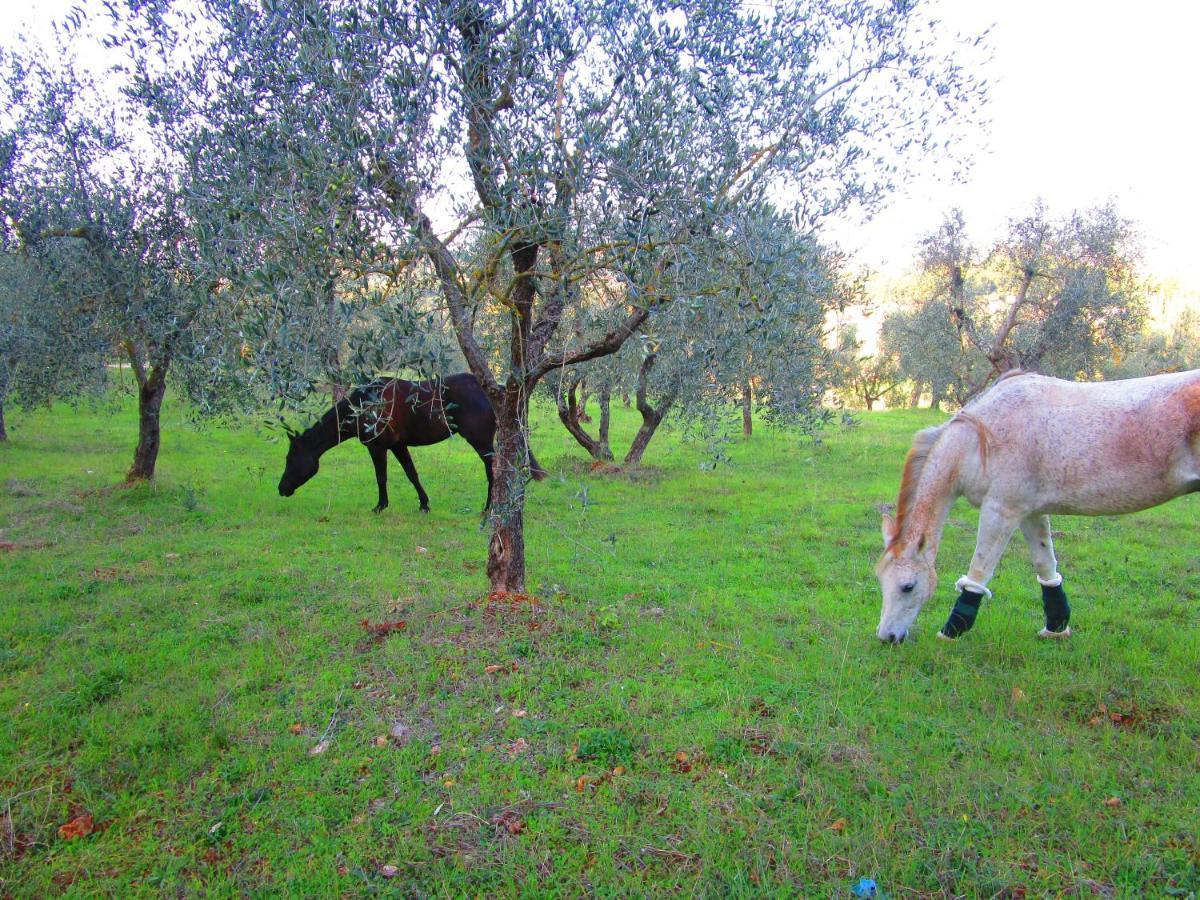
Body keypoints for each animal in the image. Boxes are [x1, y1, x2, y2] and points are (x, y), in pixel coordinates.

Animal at [278, 374, 547, 513]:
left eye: (290, 458)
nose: (281, 489)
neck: (364, 406)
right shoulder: (398, 446)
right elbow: (411, 474)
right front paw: (424, 504)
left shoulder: (377, 447)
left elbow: (381, 477)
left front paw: (380, 506)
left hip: (480, 441)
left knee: (494, 471)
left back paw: (489, 507)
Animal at [873, 369, 1200, 643]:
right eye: (880, 579)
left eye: (907, 586)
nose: (887, 637)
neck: (982, 440)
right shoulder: (1030, 513)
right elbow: (1046, 564)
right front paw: (1056, 626)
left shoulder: (1001, 510)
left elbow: (979, 570)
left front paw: (952, 630)